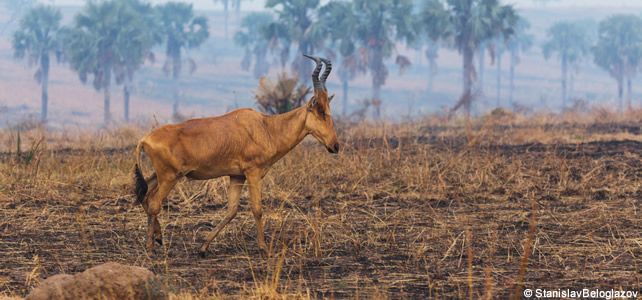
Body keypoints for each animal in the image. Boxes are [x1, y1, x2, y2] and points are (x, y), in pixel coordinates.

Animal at [133, 54, 338, 255]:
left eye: (328, 109)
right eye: (320, 110)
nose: (335, 146)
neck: (265, 127)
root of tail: (144, 139)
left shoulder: (236, 175)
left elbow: (232, 210)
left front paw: (203, 247)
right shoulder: (252, 173)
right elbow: (257, 209)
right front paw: (264, 248)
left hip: (160, 175)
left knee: (145, 196)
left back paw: (158, 238)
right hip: (170, 177)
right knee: (154, 203)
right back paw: (151, 248)